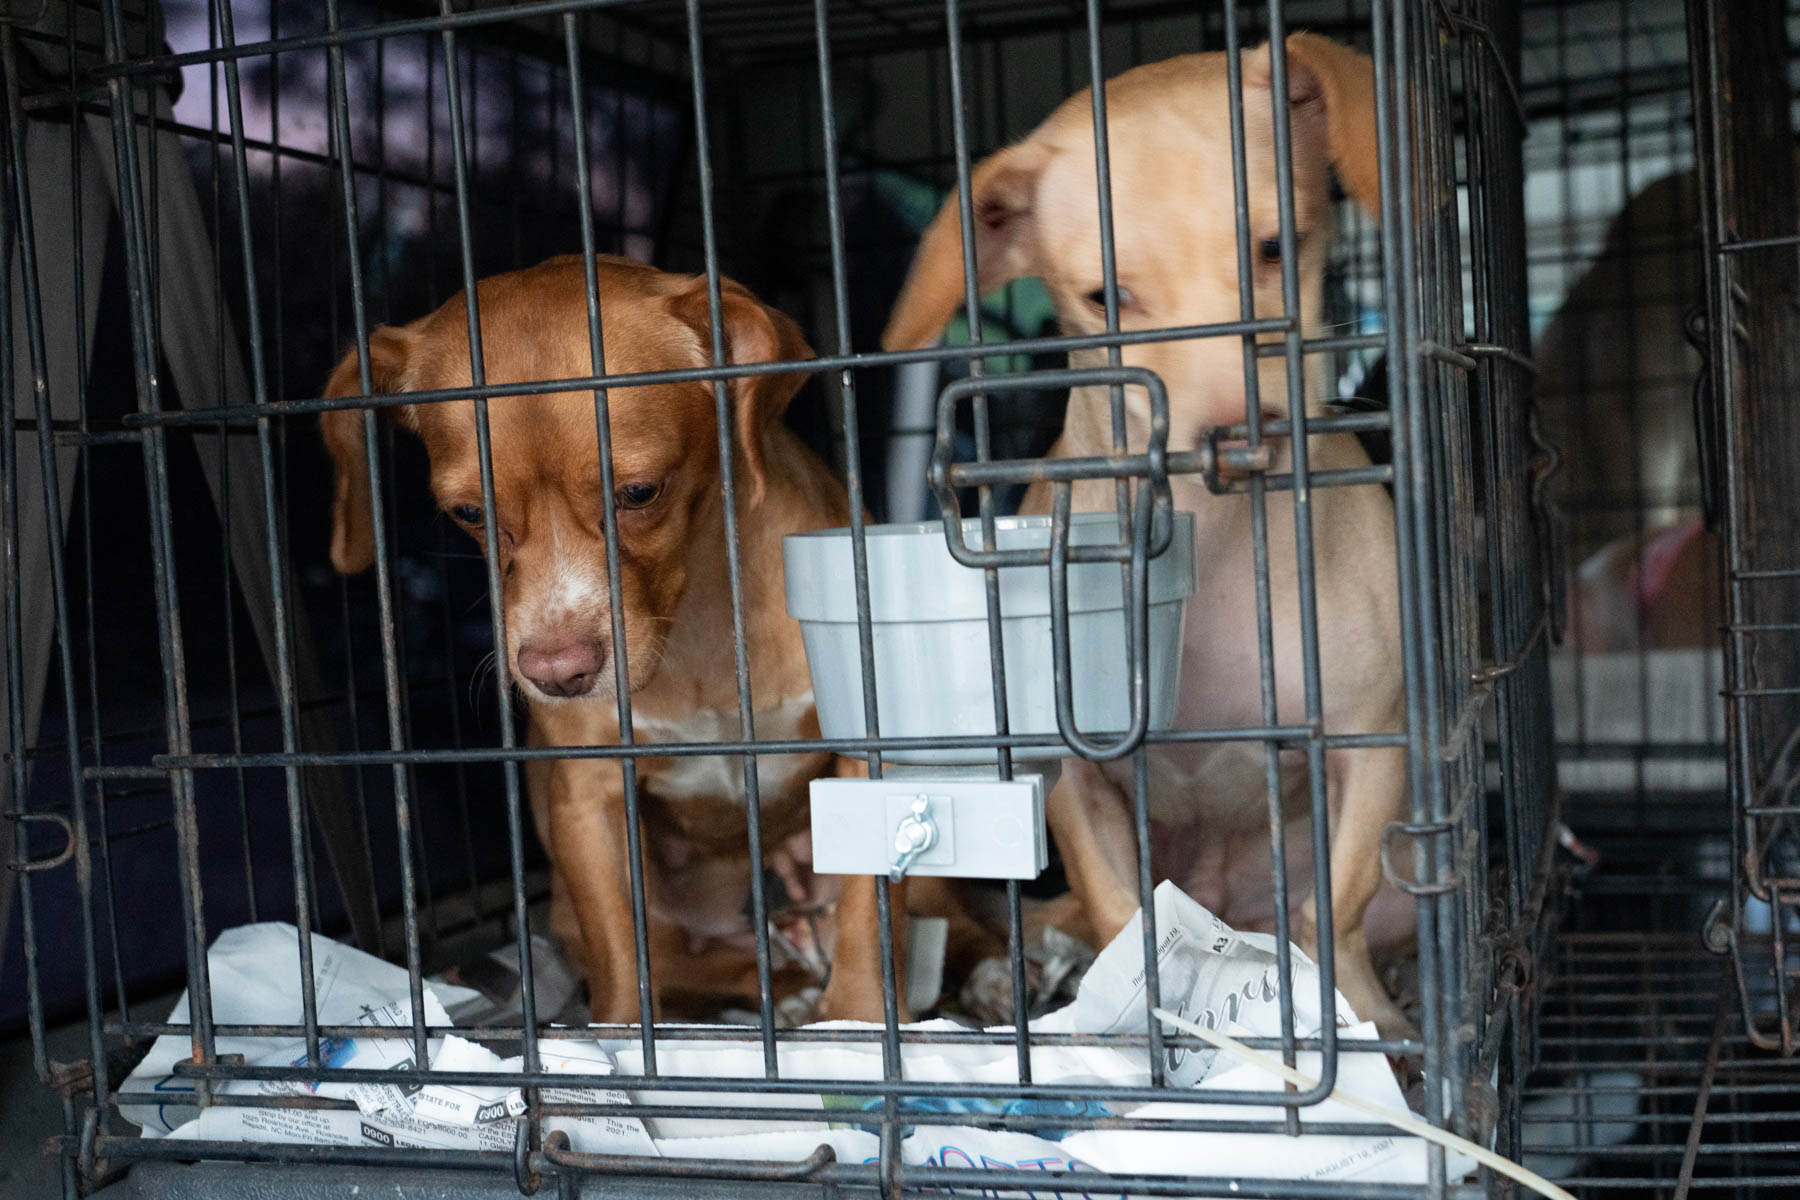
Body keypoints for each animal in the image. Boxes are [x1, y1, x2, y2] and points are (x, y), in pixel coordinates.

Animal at [322, 254, 992, 1023]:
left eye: (639, 492)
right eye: (468, 512)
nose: (557, 673)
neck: (699, 626)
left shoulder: (870, 754)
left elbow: (867, 917)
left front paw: (859, 1018)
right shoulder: (588, 798)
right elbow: (622, 958)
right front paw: (617, 1042)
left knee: (959, 924)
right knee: (713, 965)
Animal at [882, 35, 1416, 1037]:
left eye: (1278, 247)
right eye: (1106, 297)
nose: (1239, 436)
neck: (1217, 547)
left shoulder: (1368, 744)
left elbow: (1335, 905)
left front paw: (1358, 1018)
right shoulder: (1071, 788)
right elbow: (1119, 918)